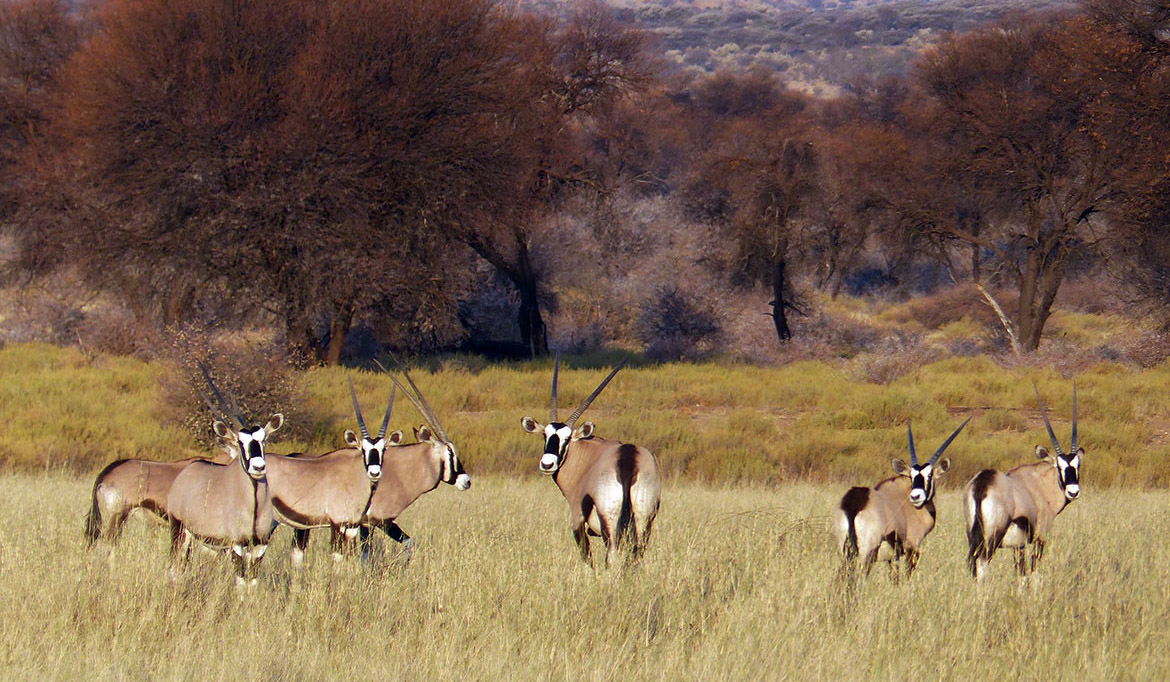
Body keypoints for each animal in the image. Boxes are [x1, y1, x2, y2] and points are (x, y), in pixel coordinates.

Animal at [166, 364, 284, 584]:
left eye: (263, 440)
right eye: (240, 442)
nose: (258, 467)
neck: (253, 502)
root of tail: (187, 472)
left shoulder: (260, 545)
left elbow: (252, 582)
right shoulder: (237, 545)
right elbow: (241, 582)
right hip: (179, 531)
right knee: (174, 570)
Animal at [521, 355, 659, 568]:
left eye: (567, 438)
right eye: (545, 435)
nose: (547, 464)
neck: (585, 456)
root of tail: (628, 460)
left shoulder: (577, 519)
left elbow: (587, 559)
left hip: (609, 523)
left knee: (611, 557)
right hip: (644, 521)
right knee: (635, 558)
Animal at [842, 418, 968, 584]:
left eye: (929, 476)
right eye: (912, 476)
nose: (915, 497)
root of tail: (856, 506)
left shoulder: (893, 555)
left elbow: (894, 578)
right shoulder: (913, 547)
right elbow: (907, 575)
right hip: (868, 551)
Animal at [964, 383, 1081, 582]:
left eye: (1077, 464)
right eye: (1059, 466)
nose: (1073, 491)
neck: (1041, 485)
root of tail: (983, 484)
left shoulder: (1019, 545)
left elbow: (1021, 573)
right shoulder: (1040, 537)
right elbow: (1034, 573)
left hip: (973, 536)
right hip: (992, 537)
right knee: (982, 565)